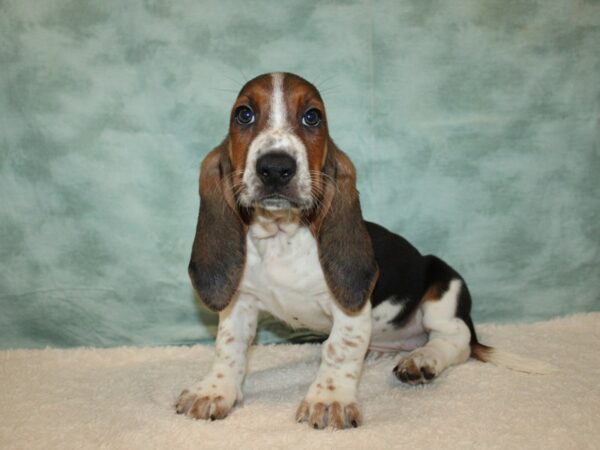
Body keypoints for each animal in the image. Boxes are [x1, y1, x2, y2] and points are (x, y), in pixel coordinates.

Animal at [176, 71, 548, 428]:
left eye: (312, 117)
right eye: (244, 114)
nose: (276, 168)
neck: (283, 236)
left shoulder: (349, 312)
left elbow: (340, 349)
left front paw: (329, 400)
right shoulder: (241, 302)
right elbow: (230, 347)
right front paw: (214, 390)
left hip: (445, 290)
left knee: (455, 340)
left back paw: (422, 359)